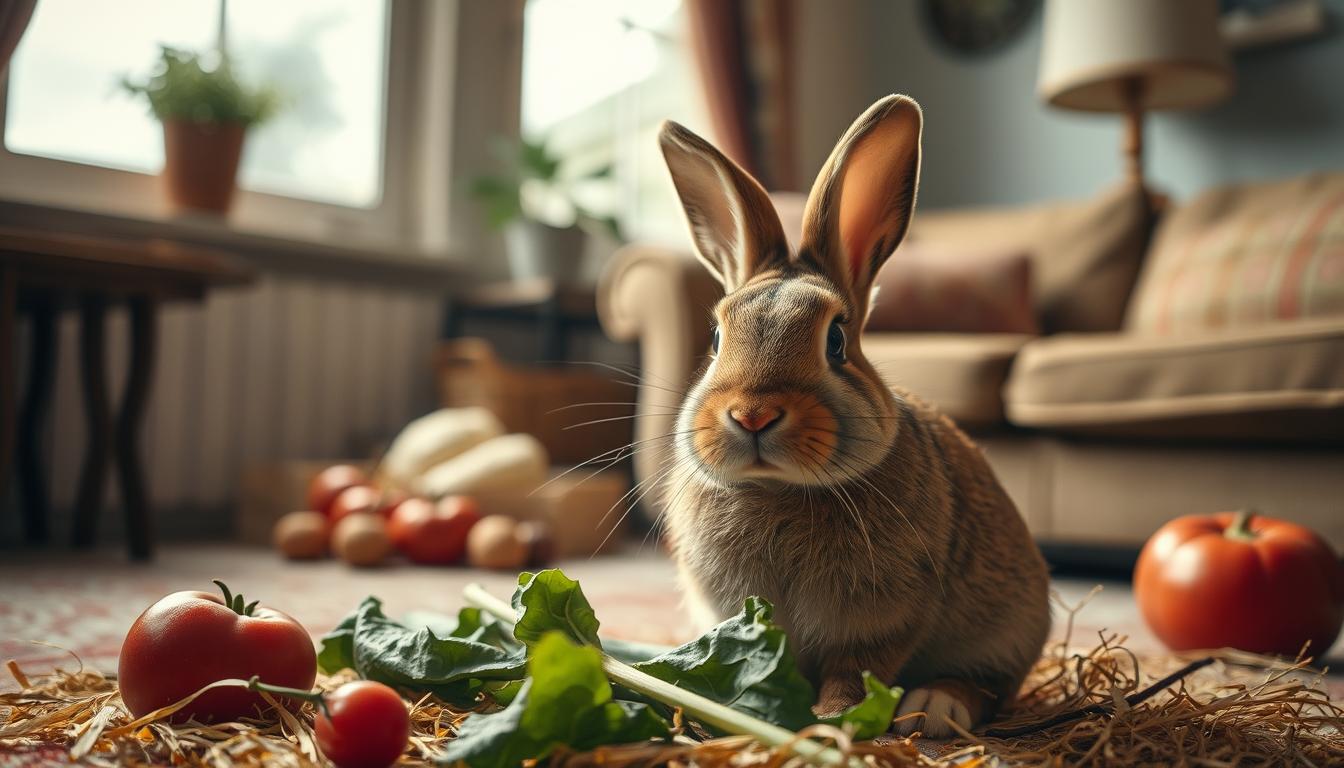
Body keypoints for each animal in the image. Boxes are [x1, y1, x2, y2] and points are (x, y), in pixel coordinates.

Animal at [653, 96, 1048, 737]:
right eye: (714, 337)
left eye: (836, 340)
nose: (753, 414)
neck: (778, 491)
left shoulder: (882, 622)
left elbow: (855, 670)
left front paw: (833, 717)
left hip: (1009, 627)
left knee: (989, 684)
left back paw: (937, 707)